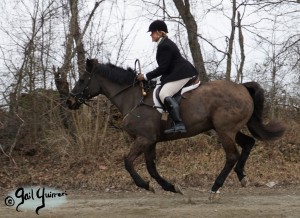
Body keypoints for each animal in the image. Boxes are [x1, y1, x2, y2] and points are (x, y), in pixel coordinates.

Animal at [65, 58, 284, 201]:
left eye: (82, 79)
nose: (70, 102)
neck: (133, 99)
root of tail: (242, 87)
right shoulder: (150, 141)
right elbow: (152, 168)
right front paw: (171, 187)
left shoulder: (143, 139)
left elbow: (128, 162)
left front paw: (146, 186)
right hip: (228, 129)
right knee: (248, 143)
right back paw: (242, 177)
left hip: (225, 130)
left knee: (232, 155)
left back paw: (215, 188)